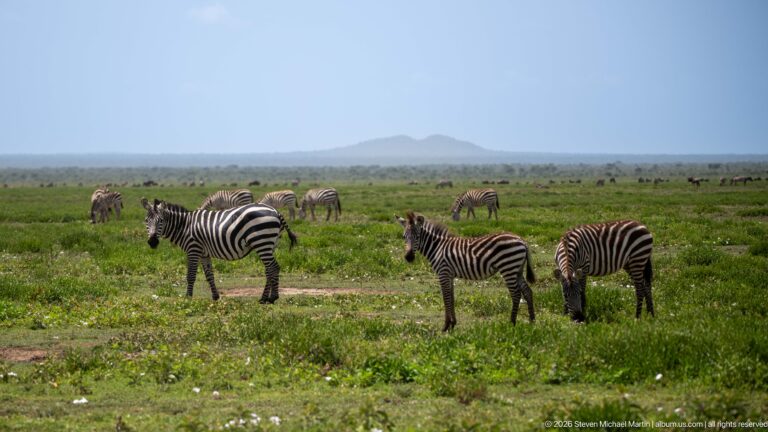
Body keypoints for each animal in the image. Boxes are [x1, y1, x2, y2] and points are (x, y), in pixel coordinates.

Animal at [141, 198, 297, 303]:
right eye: (146, 221)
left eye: (161, 221)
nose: (152, 242)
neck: (184, 226)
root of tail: (275, 211)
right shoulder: (204, 253)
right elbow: (209, 275)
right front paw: (215, 296)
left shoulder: (193, 249)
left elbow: (190, 275)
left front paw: (188, 297)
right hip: (270, 244)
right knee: (269, 269)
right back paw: (265, 298)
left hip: (262, 241)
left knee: (273, 267)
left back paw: (271, 298)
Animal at [396, 212, 535, 331]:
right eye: (404, 237)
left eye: (417, 236)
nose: (408, 257)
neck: (438, 248)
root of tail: (521, 240)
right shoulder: (449, 275)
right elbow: (451, 297)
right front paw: (453, 324)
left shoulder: (443, 272)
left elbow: (446, 297)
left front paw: (446, 326)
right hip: (517, 270)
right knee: (527, 291)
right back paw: (532, 321)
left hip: (508, 268)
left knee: (516, 294)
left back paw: (512, 323)